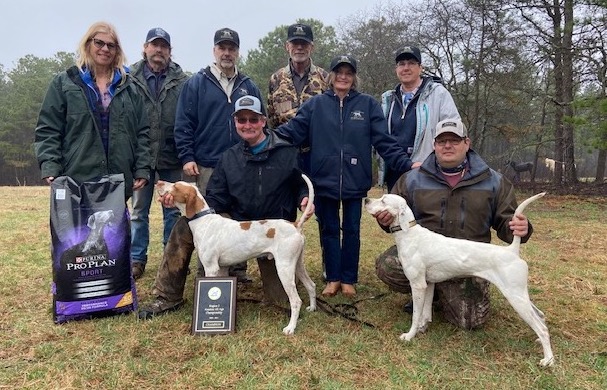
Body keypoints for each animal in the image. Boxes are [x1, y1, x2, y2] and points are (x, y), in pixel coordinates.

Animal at [156, 175, 318, 334]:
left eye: (176, 186)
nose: (158, 182)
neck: (203, 221)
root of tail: (295, 225)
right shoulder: (221, 269)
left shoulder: (211, 268)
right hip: (297, 265)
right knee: (311, 285)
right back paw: (312, 308)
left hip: (284, 268)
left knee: (296, 301)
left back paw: (290, 328)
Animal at [366, 193, 556, 368]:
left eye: (383, 200)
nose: (366, 200)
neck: (410, 234)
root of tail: (512, 250)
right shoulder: (428, 285)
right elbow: (425, 314)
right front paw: (422, 329)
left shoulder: (418, 285)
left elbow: (415, 315)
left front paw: (409, 335)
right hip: (520, 295)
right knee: (541, 316)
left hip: (515, 297)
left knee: (542, 328)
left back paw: (548, 359)